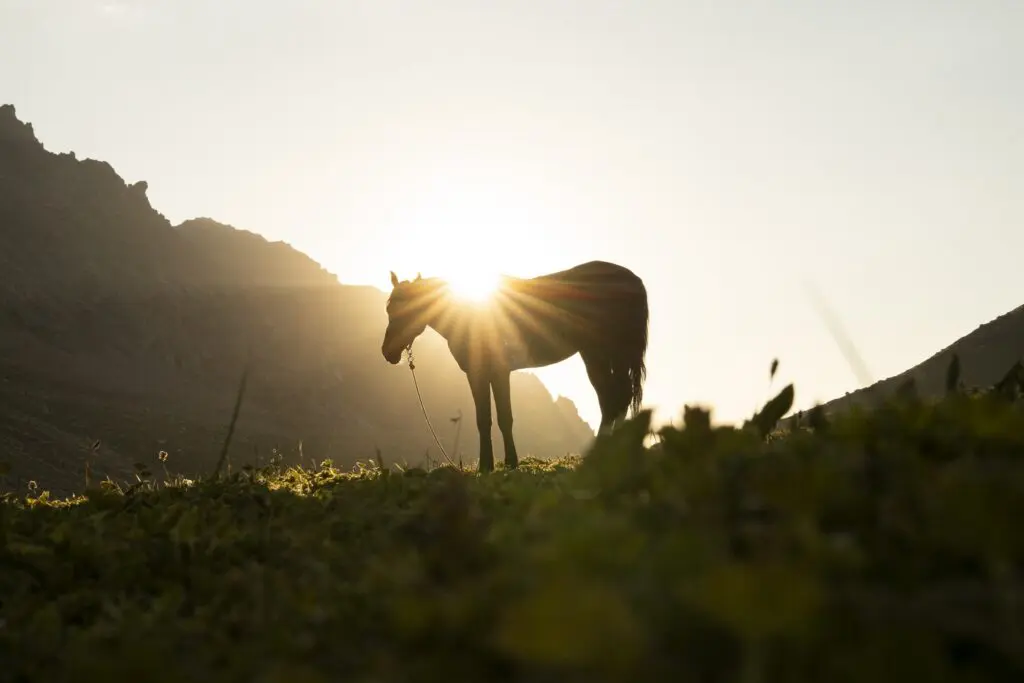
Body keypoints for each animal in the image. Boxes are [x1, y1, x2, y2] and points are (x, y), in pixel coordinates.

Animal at [381, 260, 649, 473]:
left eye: (409, 307)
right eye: (389, 308)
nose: (388, 352)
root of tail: (631, 279)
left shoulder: (498, 372)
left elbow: (502, 418)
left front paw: (507, 462)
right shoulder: (479, 374)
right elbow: (484, 419)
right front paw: (489, 465)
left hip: (608, 352)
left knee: (615, 398)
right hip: (598, 354)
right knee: (612, 399)